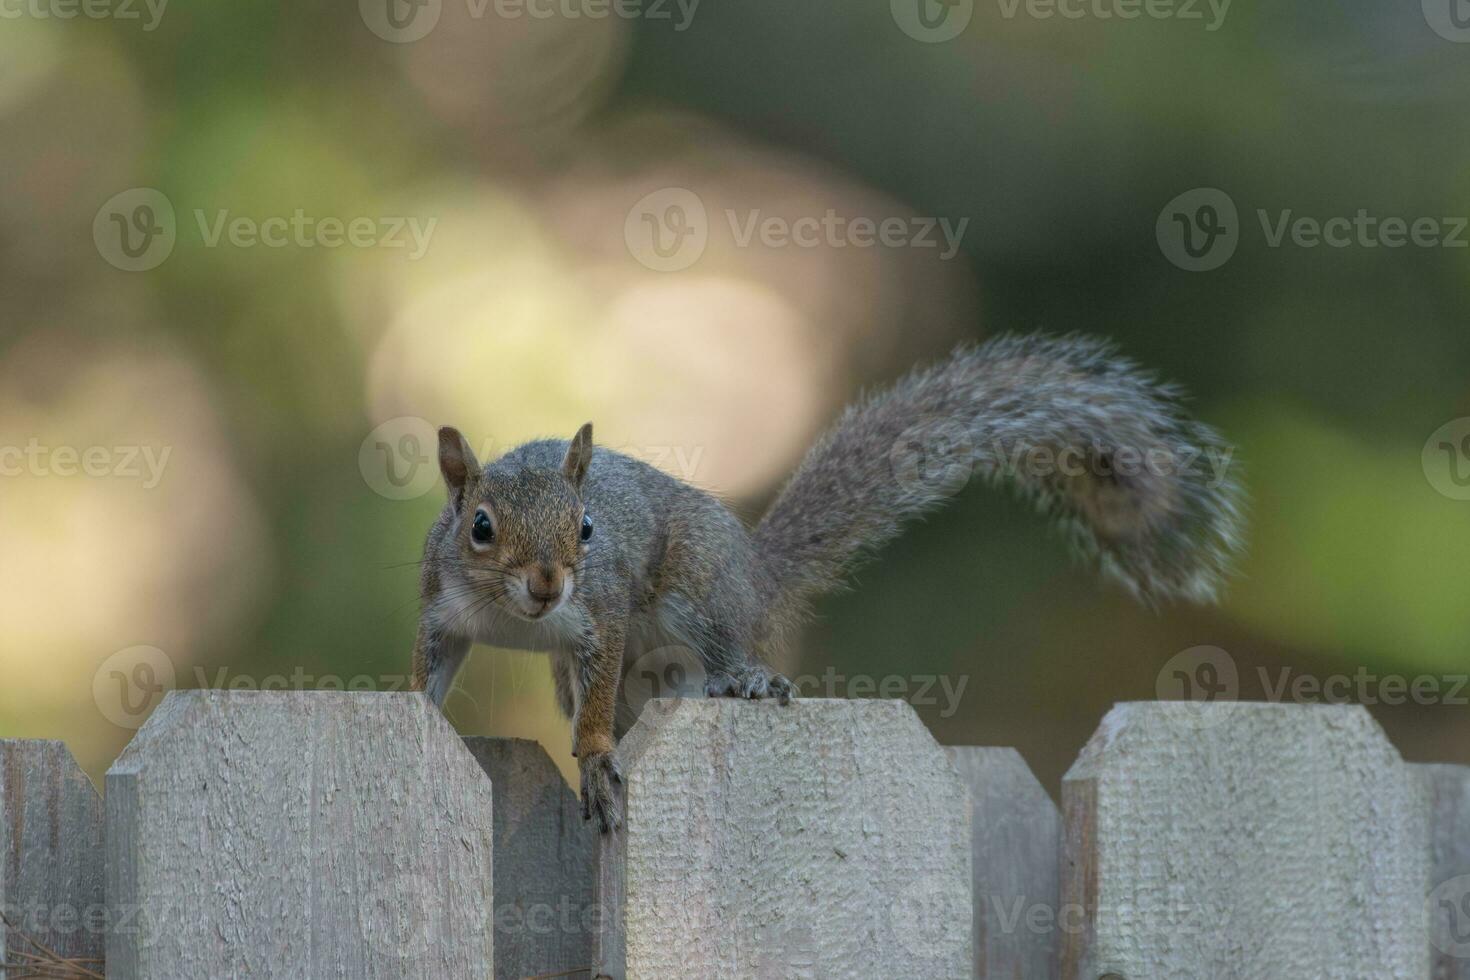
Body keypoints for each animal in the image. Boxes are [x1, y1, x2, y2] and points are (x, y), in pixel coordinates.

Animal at [411, 333, 1240, 834]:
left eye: (587, 528)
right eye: (479, 527)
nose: (549, 586)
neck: (517, 615)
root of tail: (756, 572)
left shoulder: (602, 610)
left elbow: (594, 703)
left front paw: (594, 761)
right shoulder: (443, 610)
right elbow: (432, 671)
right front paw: (419, 707)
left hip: (698, 595)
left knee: (721, 649)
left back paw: (744, 679)